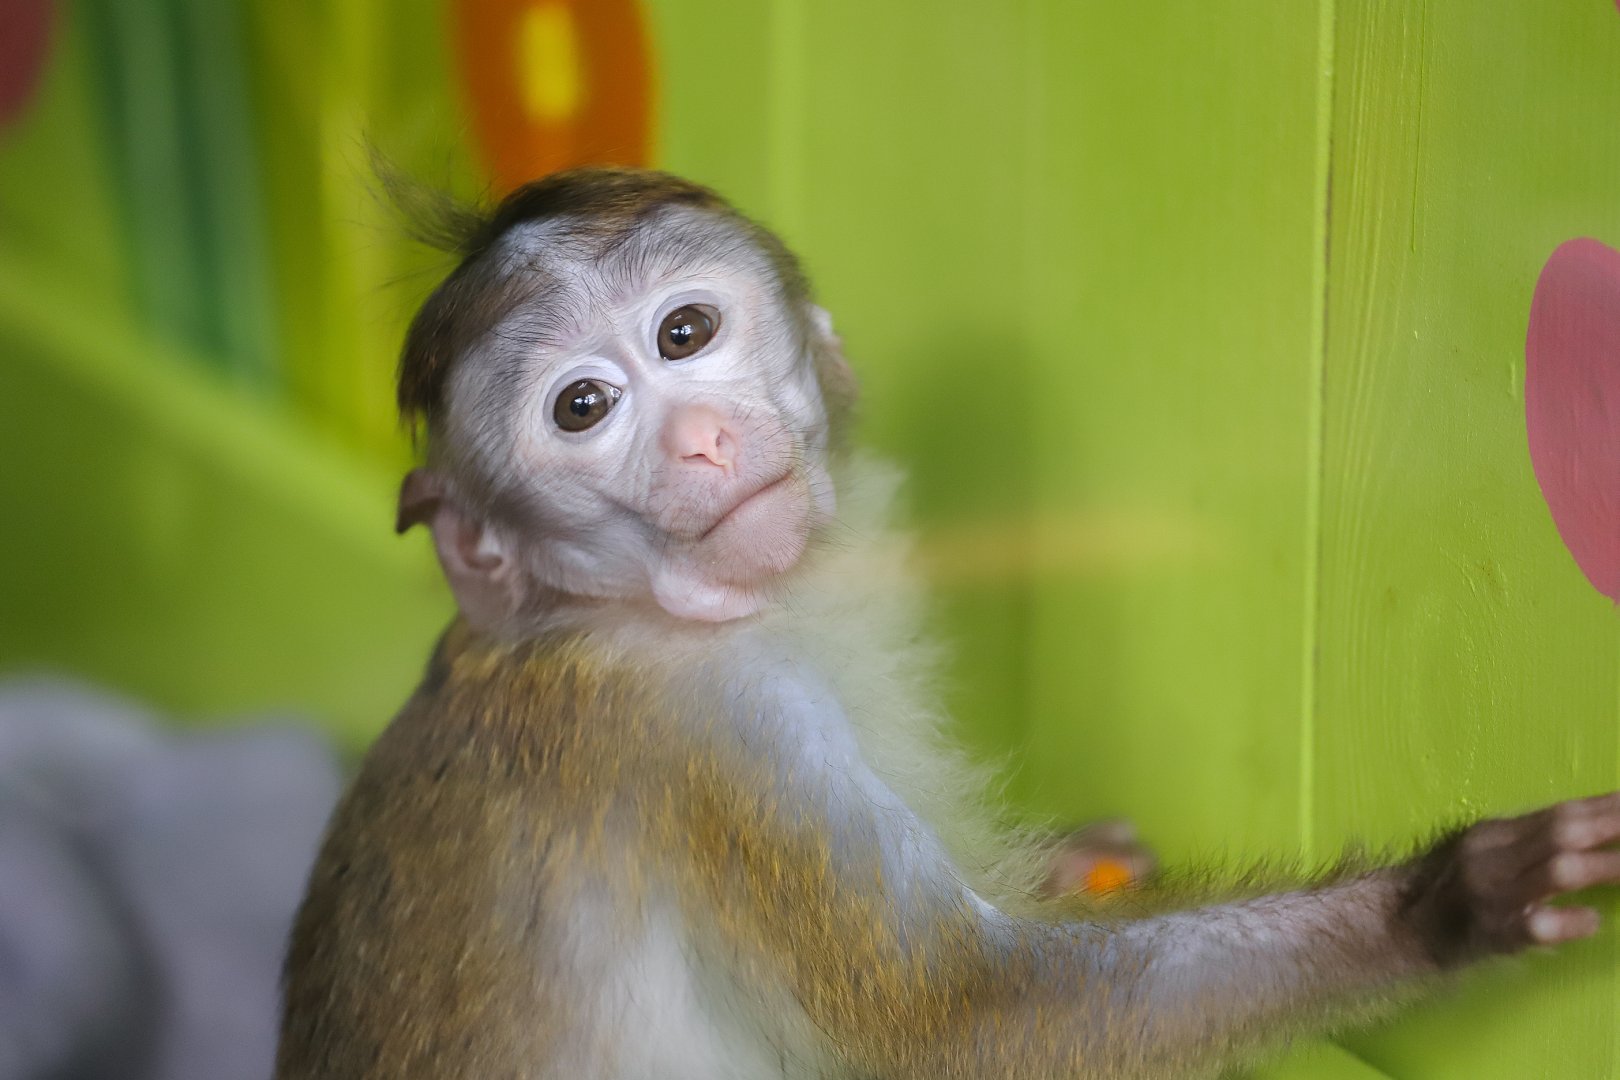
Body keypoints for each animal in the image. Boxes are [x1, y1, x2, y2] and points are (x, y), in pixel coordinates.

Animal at [276, 166, 1620, 1080]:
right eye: (583, 408)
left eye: (684, 333)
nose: (697, 439)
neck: (598, 613)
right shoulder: (711, 733)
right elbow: (968, 1024)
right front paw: (1436, 905)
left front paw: (1082, 863)